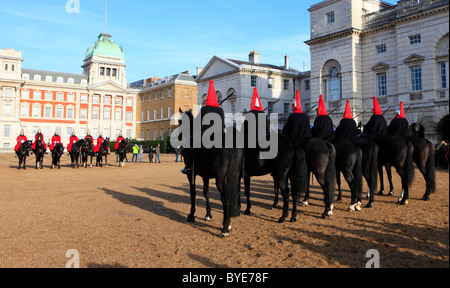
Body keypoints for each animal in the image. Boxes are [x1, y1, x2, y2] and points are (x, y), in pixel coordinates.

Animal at [178, 109, 243, 237]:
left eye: (180, 122)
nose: (178, 136)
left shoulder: (190, 174)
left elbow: (193, 193)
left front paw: (191, 215)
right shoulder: (206, 176)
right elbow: (206, 192)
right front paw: (208, 214)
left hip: (220, 179)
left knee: (225, 198)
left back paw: (225, 228)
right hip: (235, 177)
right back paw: (228, 223)